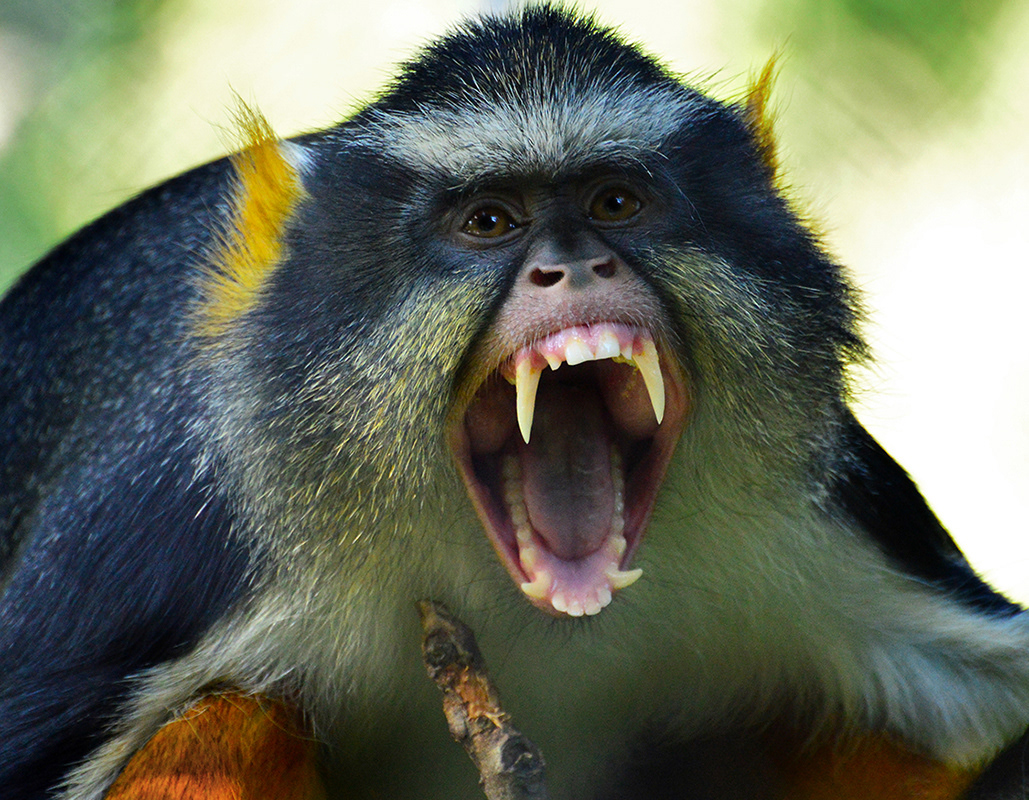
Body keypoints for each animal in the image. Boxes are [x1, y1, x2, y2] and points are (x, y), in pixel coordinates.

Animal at [2, 5, 1028, 799]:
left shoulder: (833, 522)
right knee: (226, 722)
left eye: (616, 202)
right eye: (488, 221)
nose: (571, 265)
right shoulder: (178, 543)